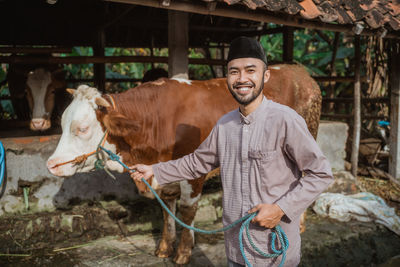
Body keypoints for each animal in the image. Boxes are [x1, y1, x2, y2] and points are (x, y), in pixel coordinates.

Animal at [47, 63, 322, 266]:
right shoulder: (163, 175)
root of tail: (298, 70)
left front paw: (183, 252)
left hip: (308, 134)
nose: (51, 165)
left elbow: (187, 211)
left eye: (82, 128)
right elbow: (166, 209)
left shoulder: (194, 169)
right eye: (61, 123)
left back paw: (299, 224)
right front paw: (164, 247)